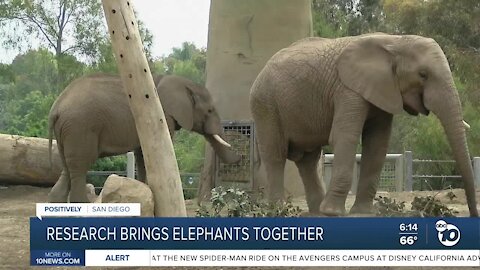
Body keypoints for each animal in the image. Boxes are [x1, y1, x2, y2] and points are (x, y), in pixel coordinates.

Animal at [48, 73, 240, 202]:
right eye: (209, 110)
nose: (240, 156)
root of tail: (56, 107)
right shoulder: (162, 117)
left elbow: (141, 153)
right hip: (80, 127)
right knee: (80, 168)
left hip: (68, 132)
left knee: (67, 169)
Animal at [249, 33, 478, 217]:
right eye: (423, 74)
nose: (474, 215)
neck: (395, 41)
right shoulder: (347, 89)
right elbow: (345, 136)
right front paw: (334, 213)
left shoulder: (383, 91)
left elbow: (377, 144)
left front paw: (362, 212)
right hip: (265, 105)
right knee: (276, 155)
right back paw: (279, 209)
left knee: (308, 160)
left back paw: (316, 212)